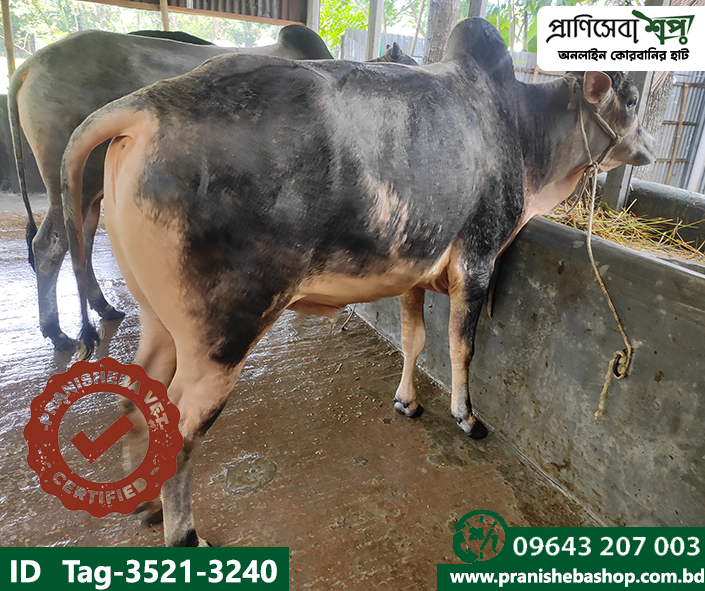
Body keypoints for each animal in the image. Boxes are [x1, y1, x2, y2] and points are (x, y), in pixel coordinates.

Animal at [8, 25, 333, 351]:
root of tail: (31, 64)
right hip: (75, 183)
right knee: (49, 246)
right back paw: (56, 331)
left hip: (84, 192)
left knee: (80, 244)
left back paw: (104, 308)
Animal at [61, 18, 655, 546]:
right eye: (629, 97)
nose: (646, 149)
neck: (519, 130)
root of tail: (147, 105)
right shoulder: (477, 261)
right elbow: (461, 347)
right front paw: (466, 417)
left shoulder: (416, 268)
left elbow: (415, 339)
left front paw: (407, 402)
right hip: (222, 336)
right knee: (183, 428)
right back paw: (184, 533)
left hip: (160, 321)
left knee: (138, 396)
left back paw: (145, 505)